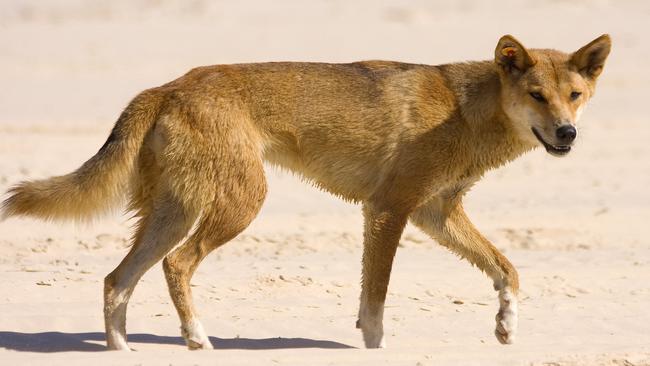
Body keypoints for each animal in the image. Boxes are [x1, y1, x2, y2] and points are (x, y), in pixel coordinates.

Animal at [0, 35, 608, 352]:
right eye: (536, 95)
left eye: (575, 96)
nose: (567, 134)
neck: (466, 109)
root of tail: (165, 86)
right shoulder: (389, 209)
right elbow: (376, 303)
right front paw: (375, 352)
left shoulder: (436, 212)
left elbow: (507, 269)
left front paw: (506, 323)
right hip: (239, 202)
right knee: (176, 265)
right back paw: (197, 339)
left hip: (175, 209)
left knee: (117, 279)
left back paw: (123, 353)